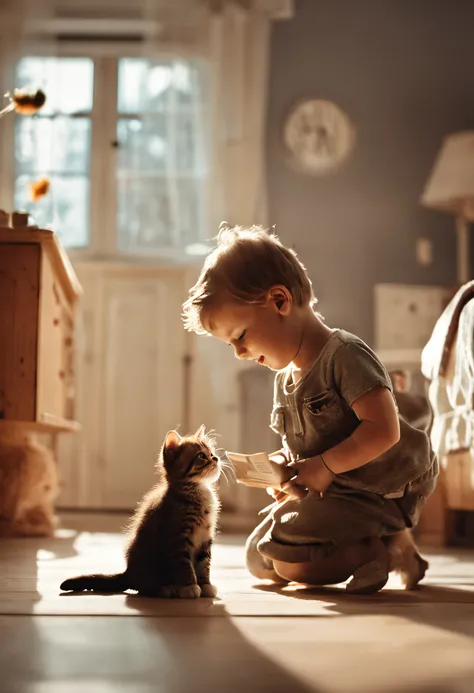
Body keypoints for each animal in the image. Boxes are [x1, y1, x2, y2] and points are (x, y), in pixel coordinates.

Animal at [60, 424, 220, 596]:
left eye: (212, 453)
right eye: (202, 455)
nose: (216, 458)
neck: (197, 492)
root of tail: (128, 572)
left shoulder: (205, 538)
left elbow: (204, 564)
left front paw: (205, 585)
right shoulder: (178, 539)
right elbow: (184, 566)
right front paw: (189, 587)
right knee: (144, 587)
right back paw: (167, 589)